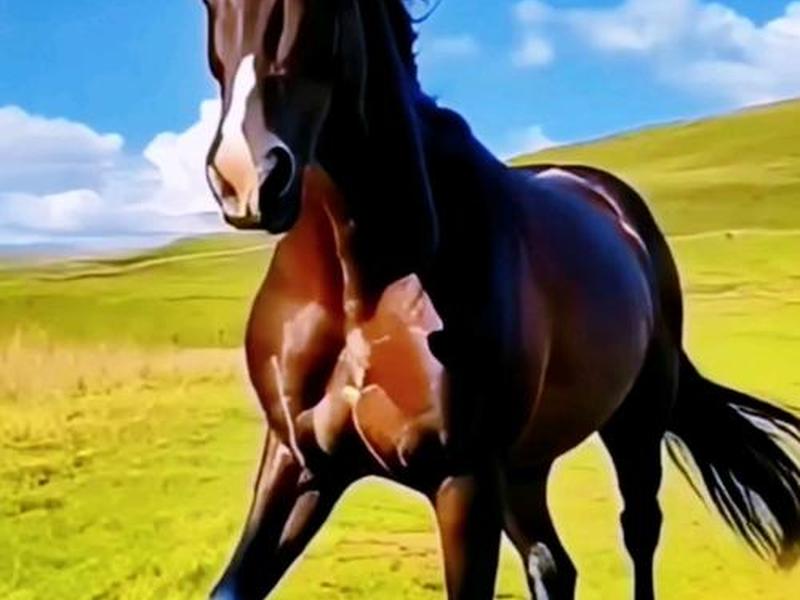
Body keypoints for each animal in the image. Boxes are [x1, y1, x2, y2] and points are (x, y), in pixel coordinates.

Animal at [200, 1, 800, 599]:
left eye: (326, 9)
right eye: (209, 7)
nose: (246, 178)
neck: (363, 285)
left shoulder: (462, 479)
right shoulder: (300, 462)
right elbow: (231, 585)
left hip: (633, 421)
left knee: (639, 530)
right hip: (523, 467)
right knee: (552, 563)